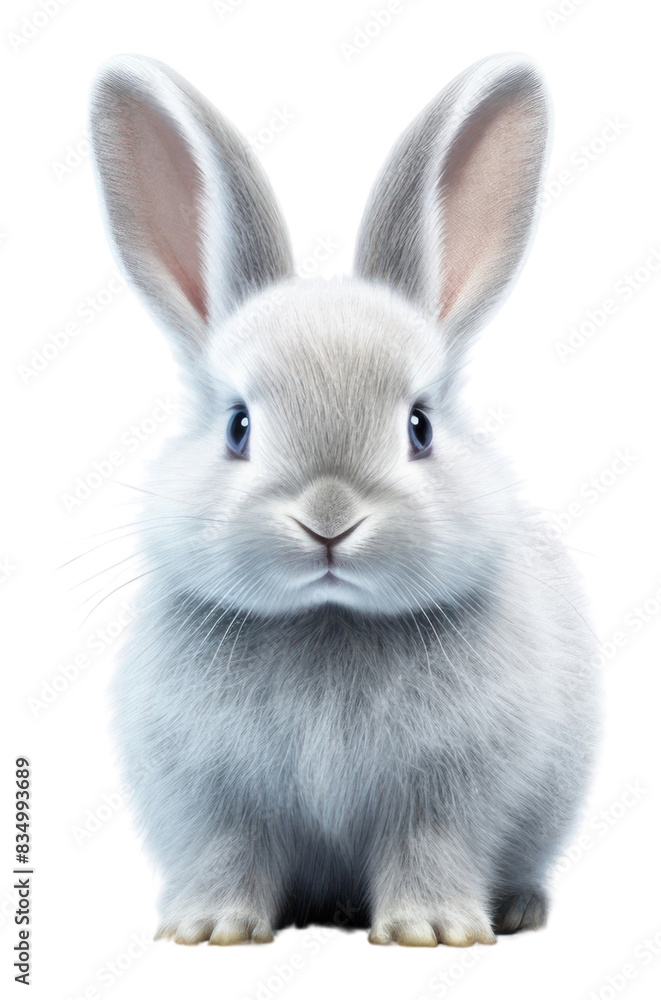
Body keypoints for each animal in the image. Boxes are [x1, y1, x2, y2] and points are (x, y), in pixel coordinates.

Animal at [88, 52, 600, 948]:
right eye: (239, 426)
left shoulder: (444, 793)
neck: (327, 620)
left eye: (419, 427)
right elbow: (231, 851)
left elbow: (429, 845)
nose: (328, 519)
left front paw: (431, 931)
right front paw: (210, 930)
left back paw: (518, 909)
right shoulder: (217, 797)